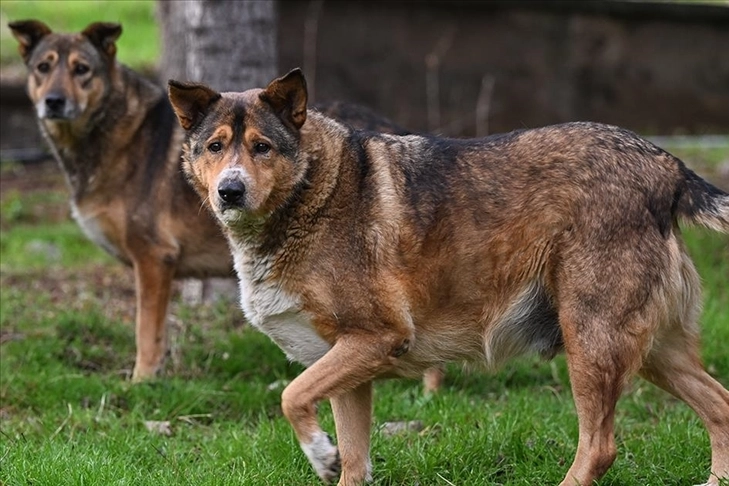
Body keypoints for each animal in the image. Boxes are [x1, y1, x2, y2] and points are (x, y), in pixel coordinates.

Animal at [8, 20, 446, 390]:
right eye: (43, 67)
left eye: (82, 69)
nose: (54, 101)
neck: (116, 133)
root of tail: (396, 129)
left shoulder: (154, 258)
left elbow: (146, 332)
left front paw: (141, 382)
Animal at [166, 69, 728, 486]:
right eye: (215, 146)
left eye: (262, 147)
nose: (230, 192)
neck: (310, 194)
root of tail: (667, 165)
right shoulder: (349, 364)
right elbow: (352, 459)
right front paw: (333, 457)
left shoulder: (376, 339)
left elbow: (291, 397)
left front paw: (319, 454)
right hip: (654, 351)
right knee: (720, 406)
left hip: (591, 341)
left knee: (600, 447)